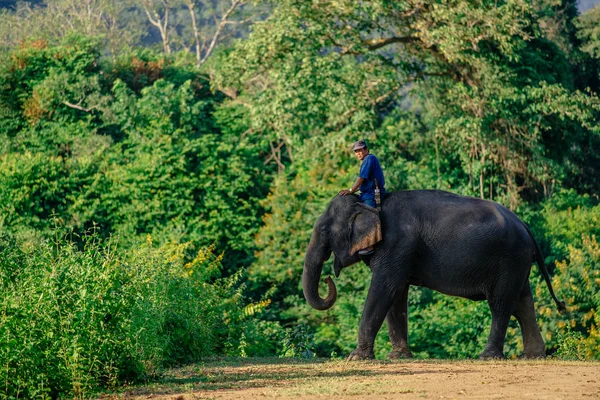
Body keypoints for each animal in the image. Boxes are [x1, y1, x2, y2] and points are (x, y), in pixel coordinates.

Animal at [302, 190, 564, 360]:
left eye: (324, 230)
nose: (328, 279)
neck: (371, 205)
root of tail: (526, 227)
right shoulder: (400, 253)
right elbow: (397, 295)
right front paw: (399, 357)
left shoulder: (396, 245)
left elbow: (384, 289)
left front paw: (356, 358)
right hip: (517, 263)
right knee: (523, 303)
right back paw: (533, 356)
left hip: (508, 260)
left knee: (501, 305)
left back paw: (488, 357)